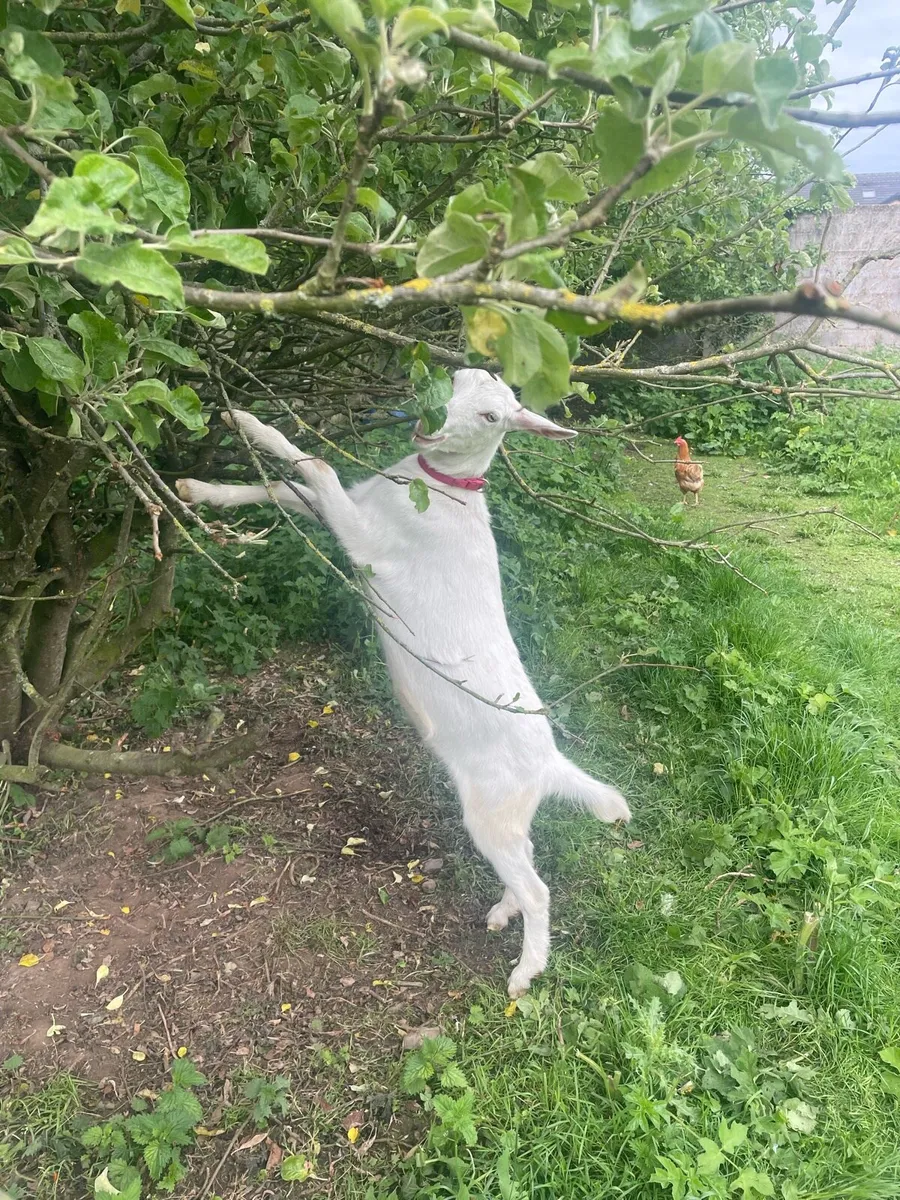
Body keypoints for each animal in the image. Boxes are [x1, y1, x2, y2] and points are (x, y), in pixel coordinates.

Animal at [176, 369, 631, 996]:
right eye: (458, 377)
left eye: (493, 416)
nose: (431, 419)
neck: (437, 492)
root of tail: (549, 765)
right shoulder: (353, 509)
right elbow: (283, 489)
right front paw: (202, 487)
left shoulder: (369, 543)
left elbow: (318, 465)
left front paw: (248, 424)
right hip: (509, 817)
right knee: (529, 856)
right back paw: (503, 911)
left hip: (490, 811)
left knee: (539, 888)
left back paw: (525, 971)